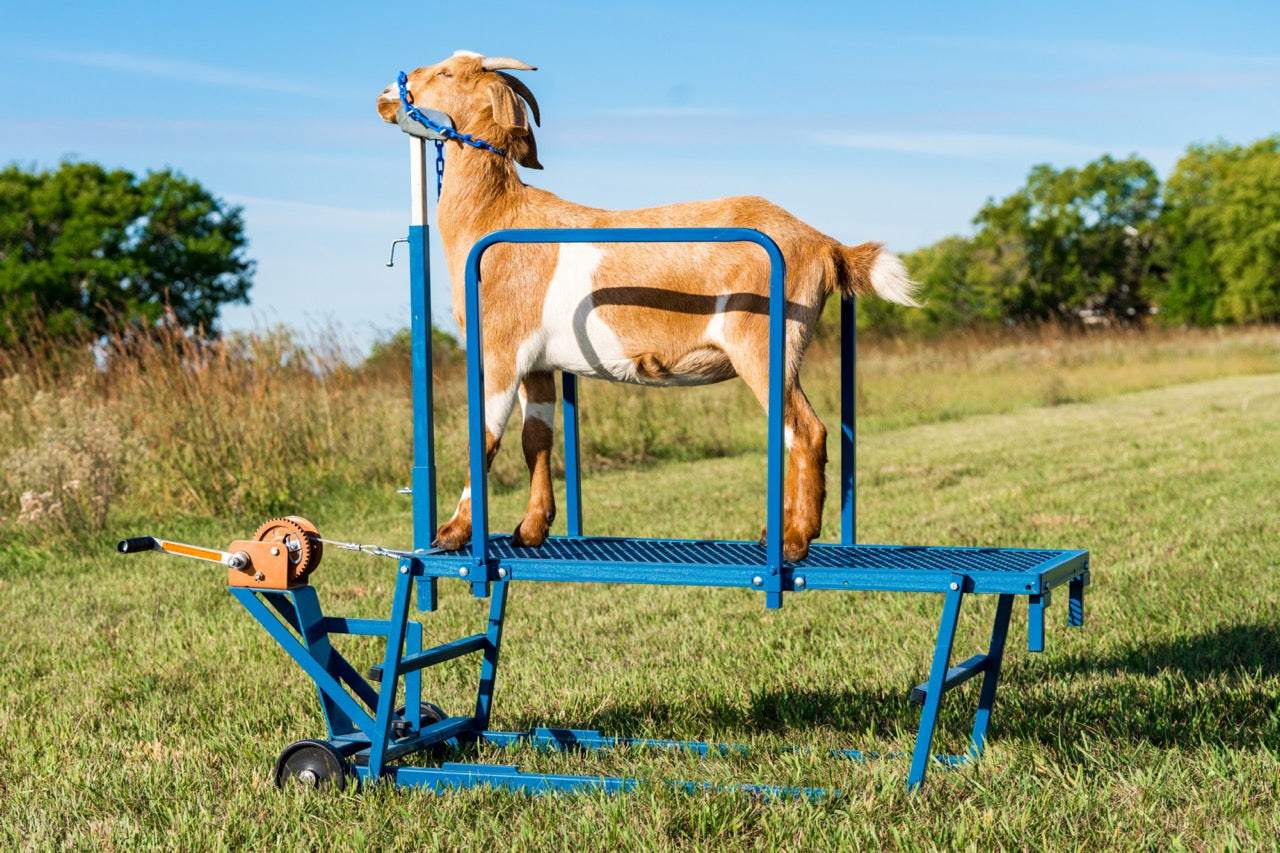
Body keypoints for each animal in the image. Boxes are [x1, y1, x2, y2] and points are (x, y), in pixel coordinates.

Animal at [376, 51, 919, 562]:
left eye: (448, 73)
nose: (385, 93)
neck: (499, 215)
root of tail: (825, 244)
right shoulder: (539, 363)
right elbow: (537, 440)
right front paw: (531, 529)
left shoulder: (501, 351)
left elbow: (484, 440)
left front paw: (452, 532)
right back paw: (777, 532)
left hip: (764, 345)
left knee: (806, 431)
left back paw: (794, 542)